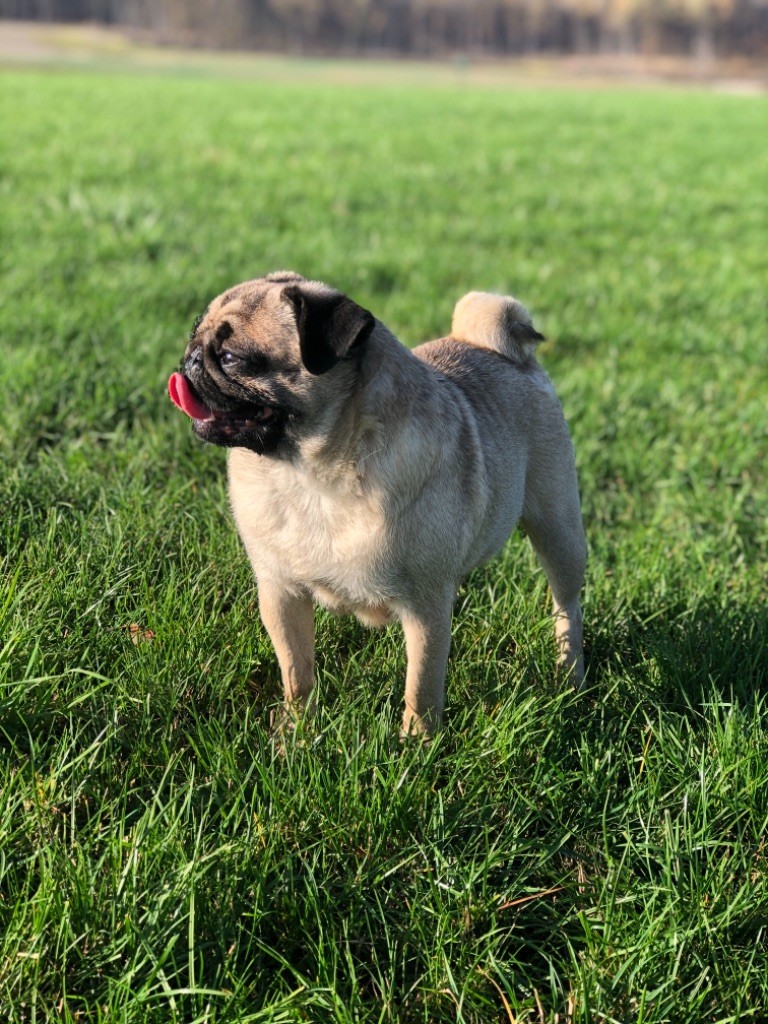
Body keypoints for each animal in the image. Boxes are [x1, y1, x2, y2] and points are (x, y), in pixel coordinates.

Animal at [168, 271, 586, 736]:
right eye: (195, 335)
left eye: (231, 357)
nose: (190, 358)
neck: (310, 474)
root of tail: (496, 348)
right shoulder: (280, 592)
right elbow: (297, 670)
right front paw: (296, 731)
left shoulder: (425, 608)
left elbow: (421, 686)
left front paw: (417, 744)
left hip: (558, 529)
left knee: (567, 605)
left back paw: (570, 674)